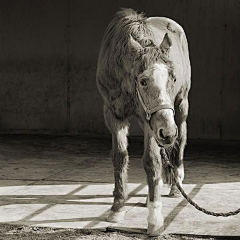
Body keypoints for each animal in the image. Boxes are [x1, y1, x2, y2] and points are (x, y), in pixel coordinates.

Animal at [95, 8, 191, 235]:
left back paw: (176, 185)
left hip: (180, 107)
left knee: (180, 141)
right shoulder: (114, 115)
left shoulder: (152, 123)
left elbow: (152, 161)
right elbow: (120, 157)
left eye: (173, 78)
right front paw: (117, 208)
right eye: (143, 81)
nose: (168, 132)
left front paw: (155, 220)